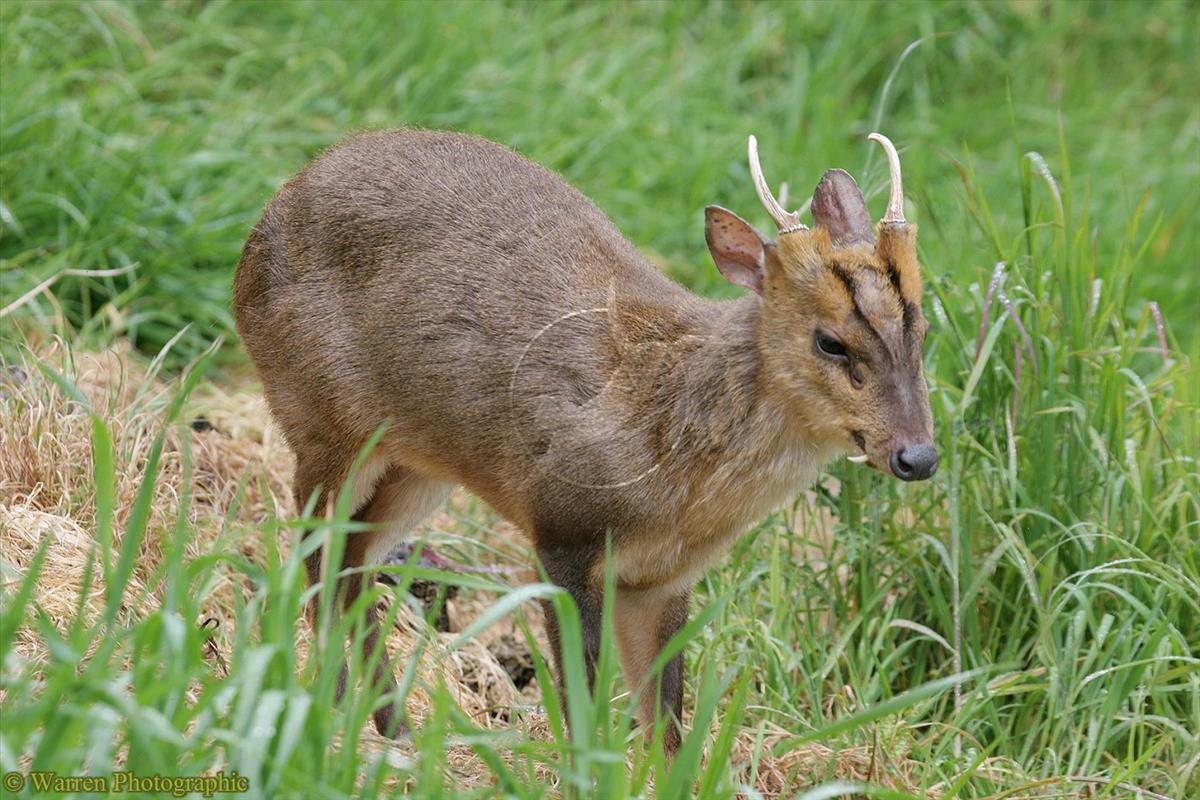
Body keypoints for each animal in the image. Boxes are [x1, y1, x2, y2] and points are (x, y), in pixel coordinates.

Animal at [231, 128, 936, 753]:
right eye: (830, 341)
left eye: (923, 327)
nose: (918, 455)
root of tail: (261, 228)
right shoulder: (561, 527)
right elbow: (583, 699)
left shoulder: (661, 579)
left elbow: (667, 726)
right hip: (321, 420)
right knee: (315, 552)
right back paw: (338, 717)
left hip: (418, 466)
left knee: (352, 561)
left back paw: (389, 728)